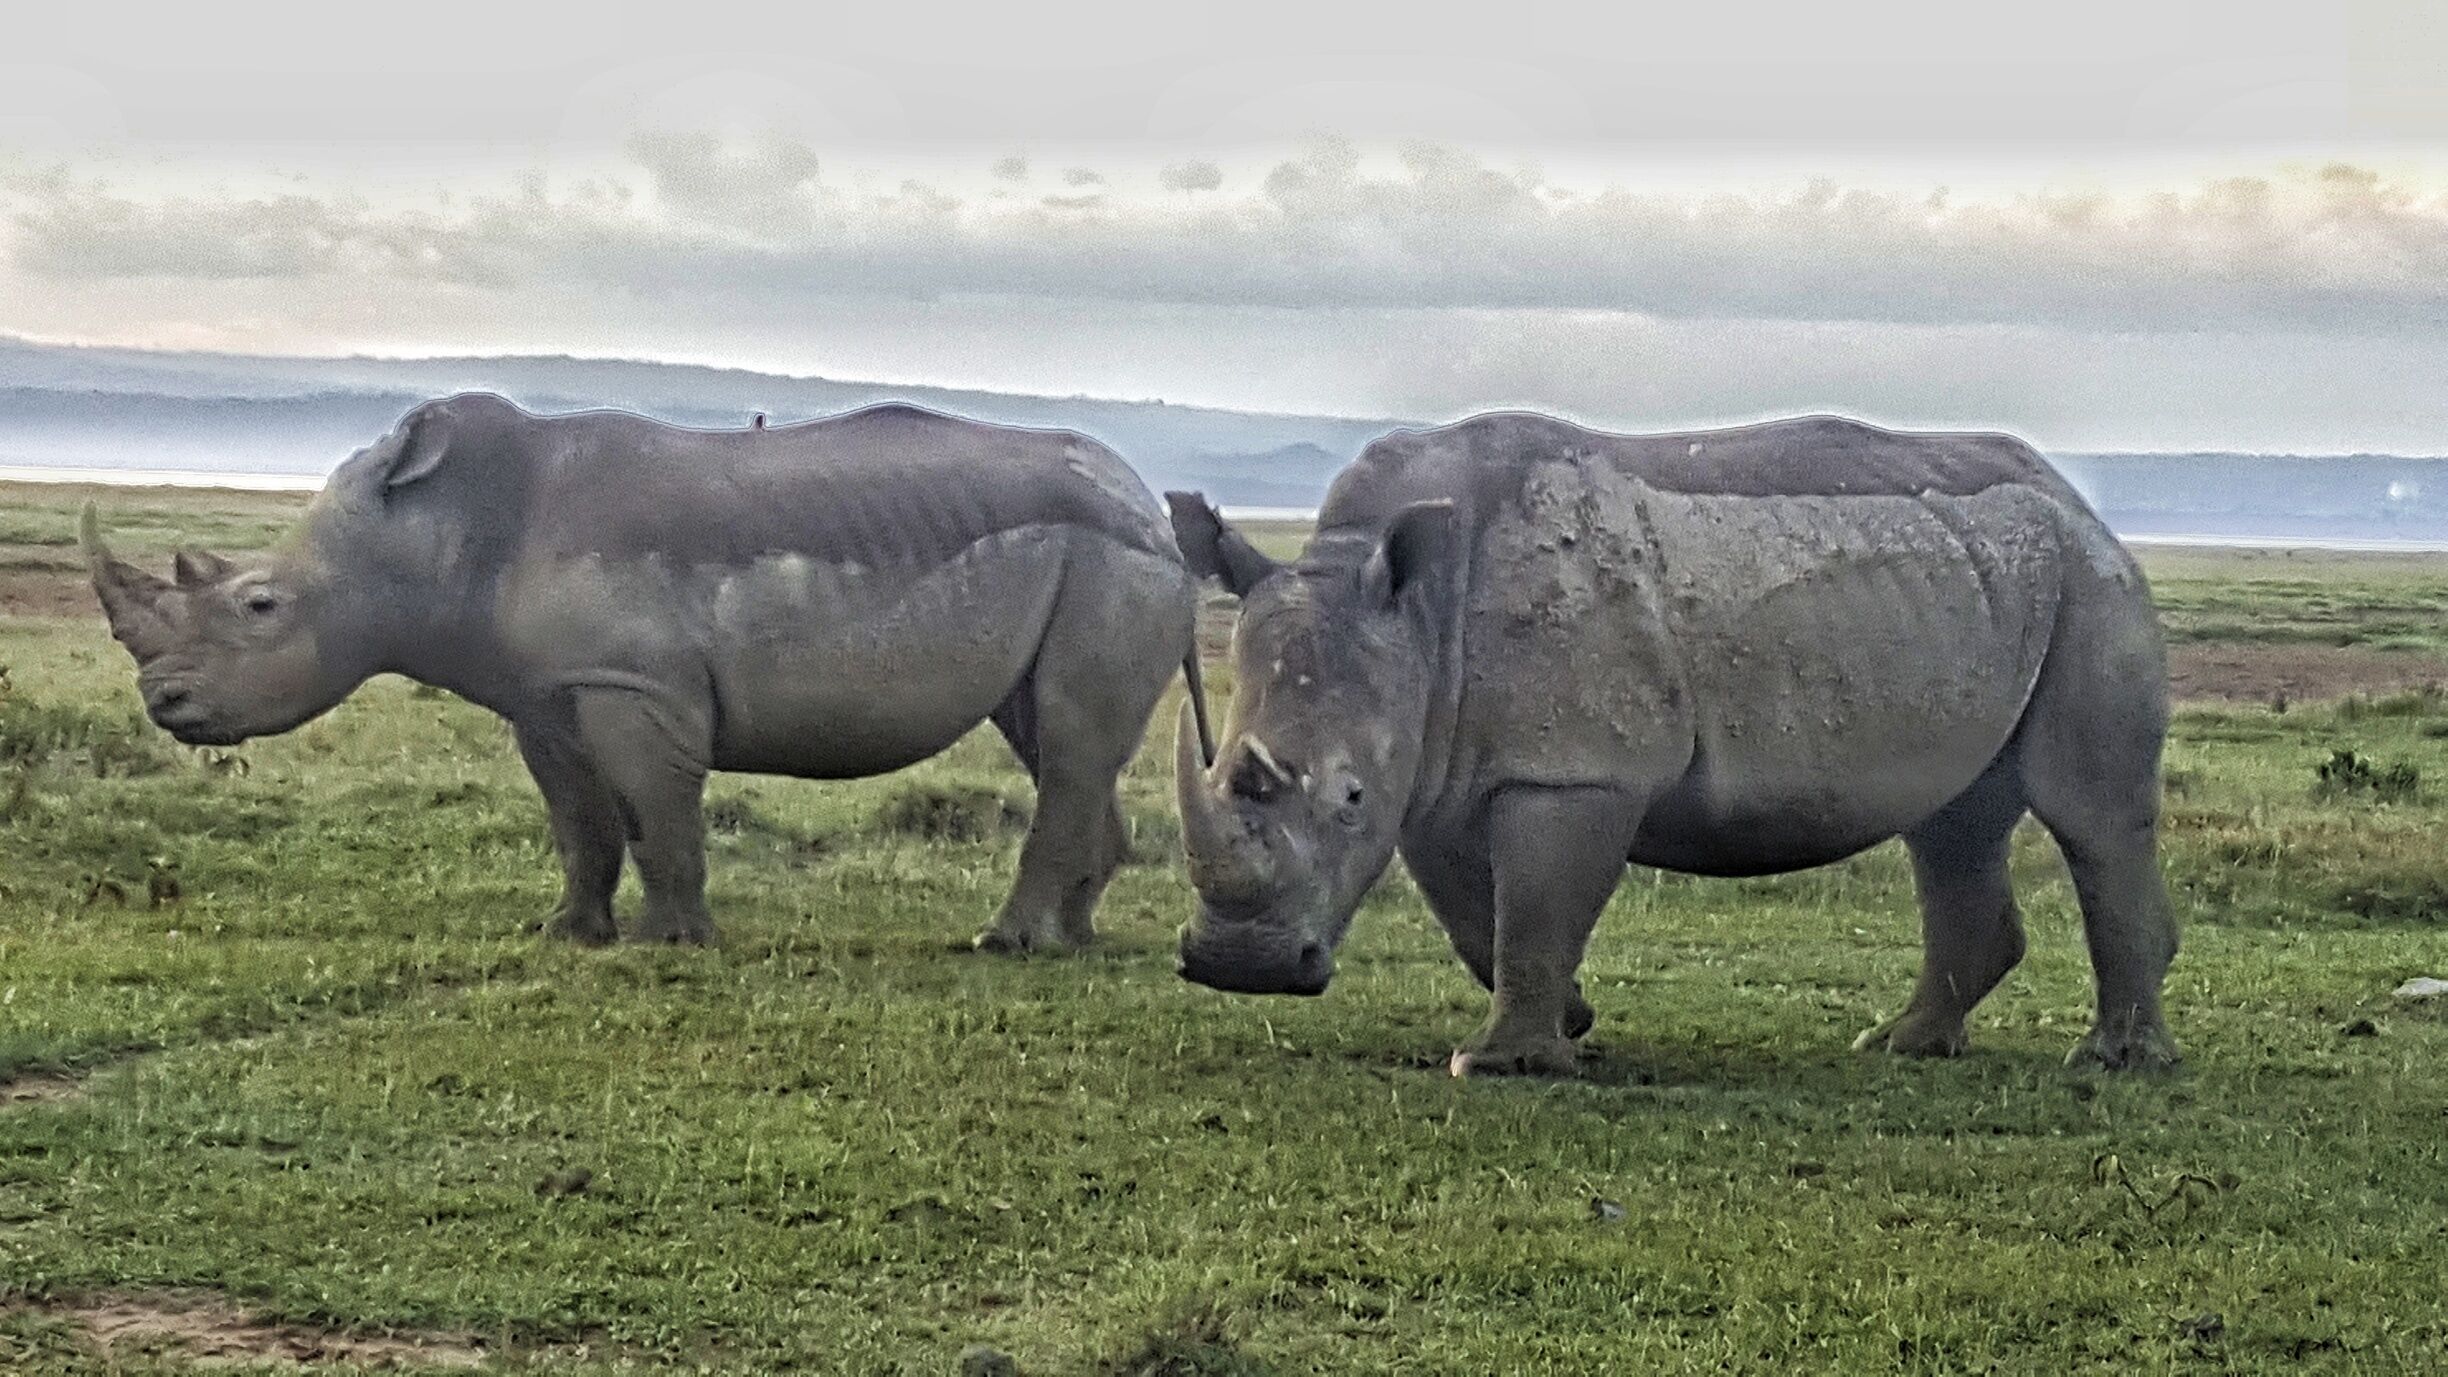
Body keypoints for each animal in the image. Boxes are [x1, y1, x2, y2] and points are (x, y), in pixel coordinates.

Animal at [85, 393, 1204, 951]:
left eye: (259, 606)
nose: (162, 702)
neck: (437, 530)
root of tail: (1158, 514)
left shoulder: (637, 685)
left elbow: (659, 815)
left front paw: (676, 943)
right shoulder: (546, 694)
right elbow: (578, 821)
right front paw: (569, 935)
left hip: (1113, 562)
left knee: (1068, 739)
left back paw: (1003, 944)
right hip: (1090, 559)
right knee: (1058, 740)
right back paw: (1072, 941)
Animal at [1166, 412, 2179, 1077]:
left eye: (1348, 800)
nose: (1238, 966)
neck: (1411, 610)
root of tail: (2077, 501)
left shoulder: (1576, 770)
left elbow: (1536, 903)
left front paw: (1500, 1063)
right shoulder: (1435, 768)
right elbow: (1473, 914)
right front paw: (1570, 1018)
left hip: (2090, 582)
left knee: (2088, 815)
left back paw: (2113, 1062)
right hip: (1981, 586)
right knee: (1953, 822)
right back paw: (1904, 1045)